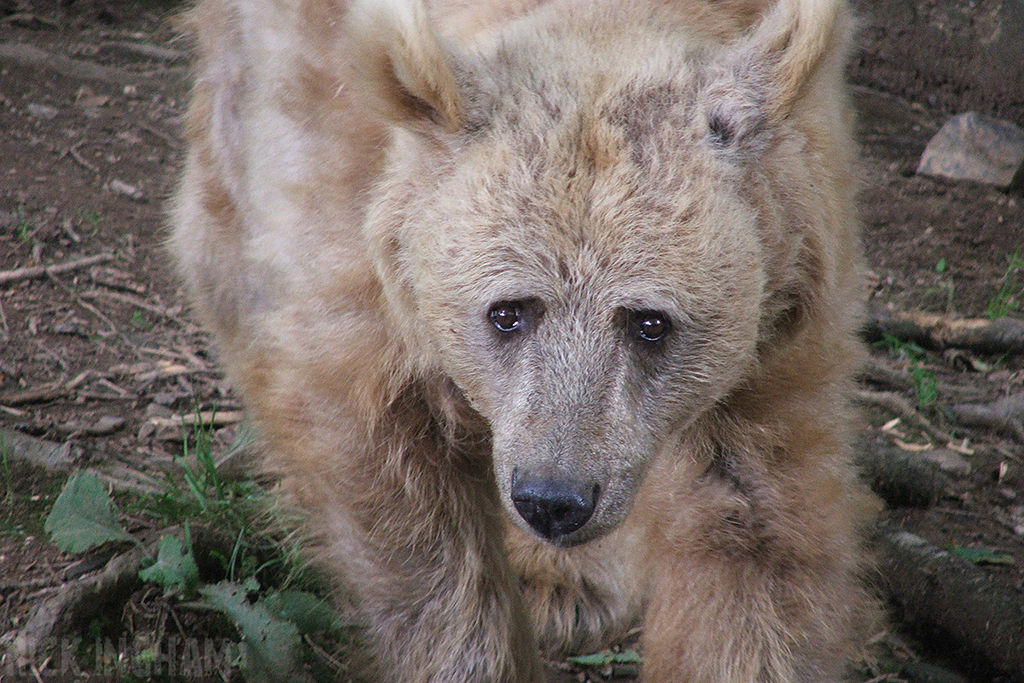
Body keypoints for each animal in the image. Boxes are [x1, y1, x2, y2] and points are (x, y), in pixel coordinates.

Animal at [172, 0, 876, 679]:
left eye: (650, 321)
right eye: (508, 311)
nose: (554, 500)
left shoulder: (780, 317)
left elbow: (752, 524)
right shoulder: (352, 228)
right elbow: (401, 500)